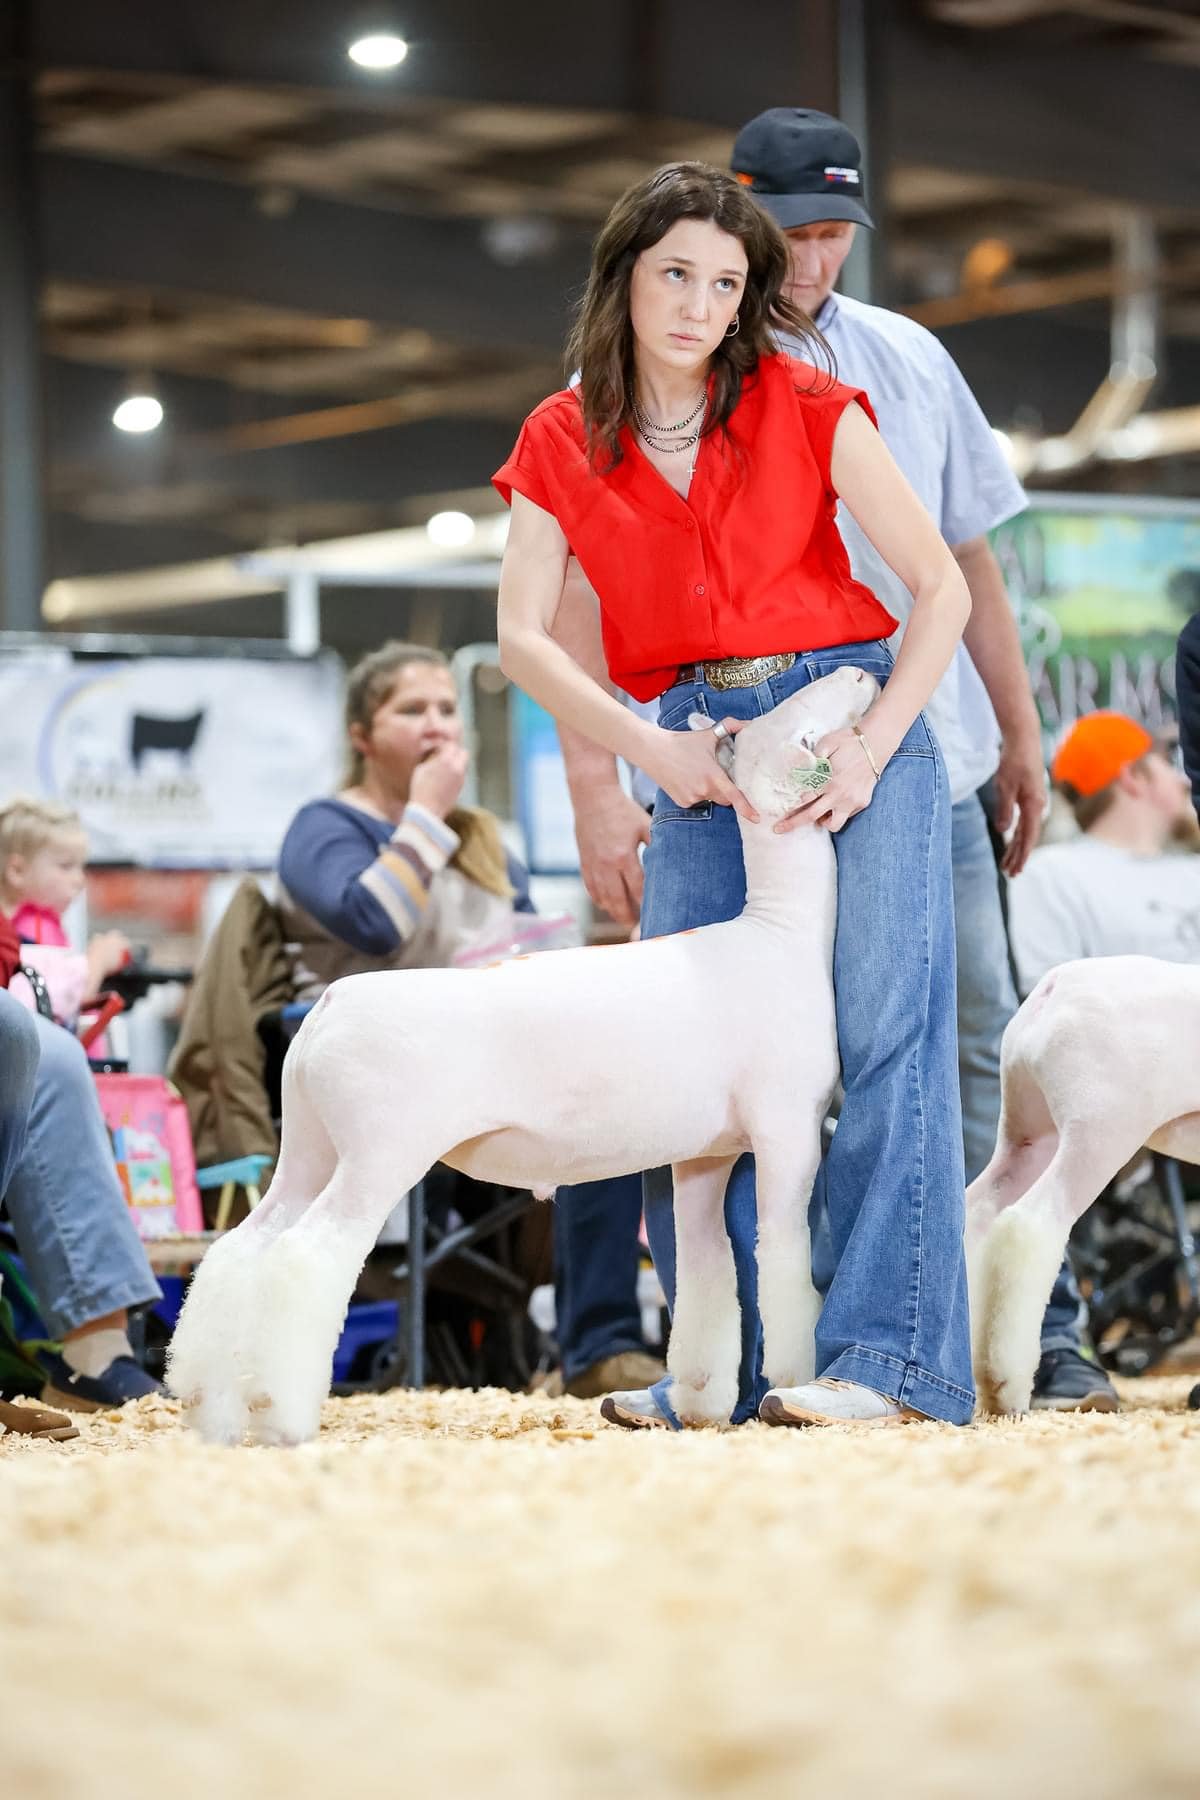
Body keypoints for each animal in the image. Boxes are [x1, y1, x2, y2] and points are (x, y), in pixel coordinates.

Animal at [166, 669, 881, 1440]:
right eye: (793, 720)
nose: (860, 673)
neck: (779, 932)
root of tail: (328, 1006)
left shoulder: (705, 1154)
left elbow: (706, 1268)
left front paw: (700, 1400)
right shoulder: (788, 1130)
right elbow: (781, 1259)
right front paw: (792, 1382)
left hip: (308, 1143)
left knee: (242, 1249)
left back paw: (208, 1409)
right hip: (377, 1153)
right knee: (307, 1255)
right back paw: (280, 1416)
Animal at [964, 957, 1200, 1418]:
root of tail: (1053, 988)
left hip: (1028, 1132)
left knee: (977, 1211)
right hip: (1099, 1130)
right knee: (1030, 1225)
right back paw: (1005, 1387)